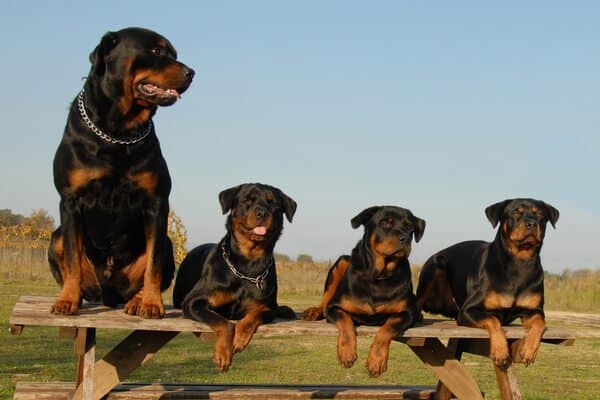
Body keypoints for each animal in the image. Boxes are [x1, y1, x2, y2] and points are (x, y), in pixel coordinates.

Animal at [49, 26, 195, 318]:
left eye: (174, 54)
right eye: (156, 50)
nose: (191, 72)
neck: (118, 133)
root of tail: (109, 295)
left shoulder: (156, 203)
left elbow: (153, 264)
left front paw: (151, 303)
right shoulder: (70, 201)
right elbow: (71, 258)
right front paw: (67, 300)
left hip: (167, 244)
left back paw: (138, 301)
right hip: (55, 237)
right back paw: (76, 296)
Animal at [172, 184, 296, 372]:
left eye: (273, 203)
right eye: (246, 200)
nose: (262, 213)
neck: (247, 265)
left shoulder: (265, 307)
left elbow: (252, 317)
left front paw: (238, 339)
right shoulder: (192, 302)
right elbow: (223, 322)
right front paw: (223, 353)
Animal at [302, 206, 424, 378]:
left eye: (410, 227)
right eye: (385, 223)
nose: (405, 238)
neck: (380, 275)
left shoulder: (407, 312)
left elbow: (388, 327)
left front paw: (376, 361)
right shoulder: (335, 307)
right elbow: (345, 320)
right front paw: (347, 353)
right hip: (342, 261)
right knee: (325, 299)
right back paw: (315, 311)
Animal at [414, 198, 560, 368]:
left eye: (540, 215)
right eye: (516, 212)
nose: (531, 223)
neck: (520, 262)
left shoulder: (534, 310)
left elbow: (540, 323)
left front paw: (529, 350)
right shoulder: (468, 310)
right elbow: (492, 320)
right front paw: (500, 351)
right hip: (436, 265)